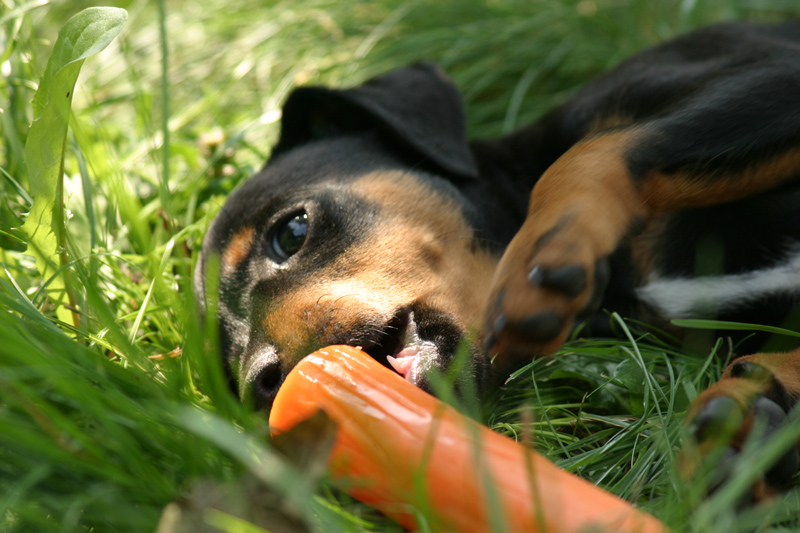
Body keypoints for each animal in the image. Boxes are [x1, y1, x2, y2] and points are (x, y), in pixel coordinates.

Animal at [197, 20, 800, 500]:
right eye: (230, 369)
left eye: (291, 232)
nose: (260, 384)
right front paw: (749, 421)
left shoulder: (772, 71)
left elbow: (591, 151)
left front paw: (545, 253)